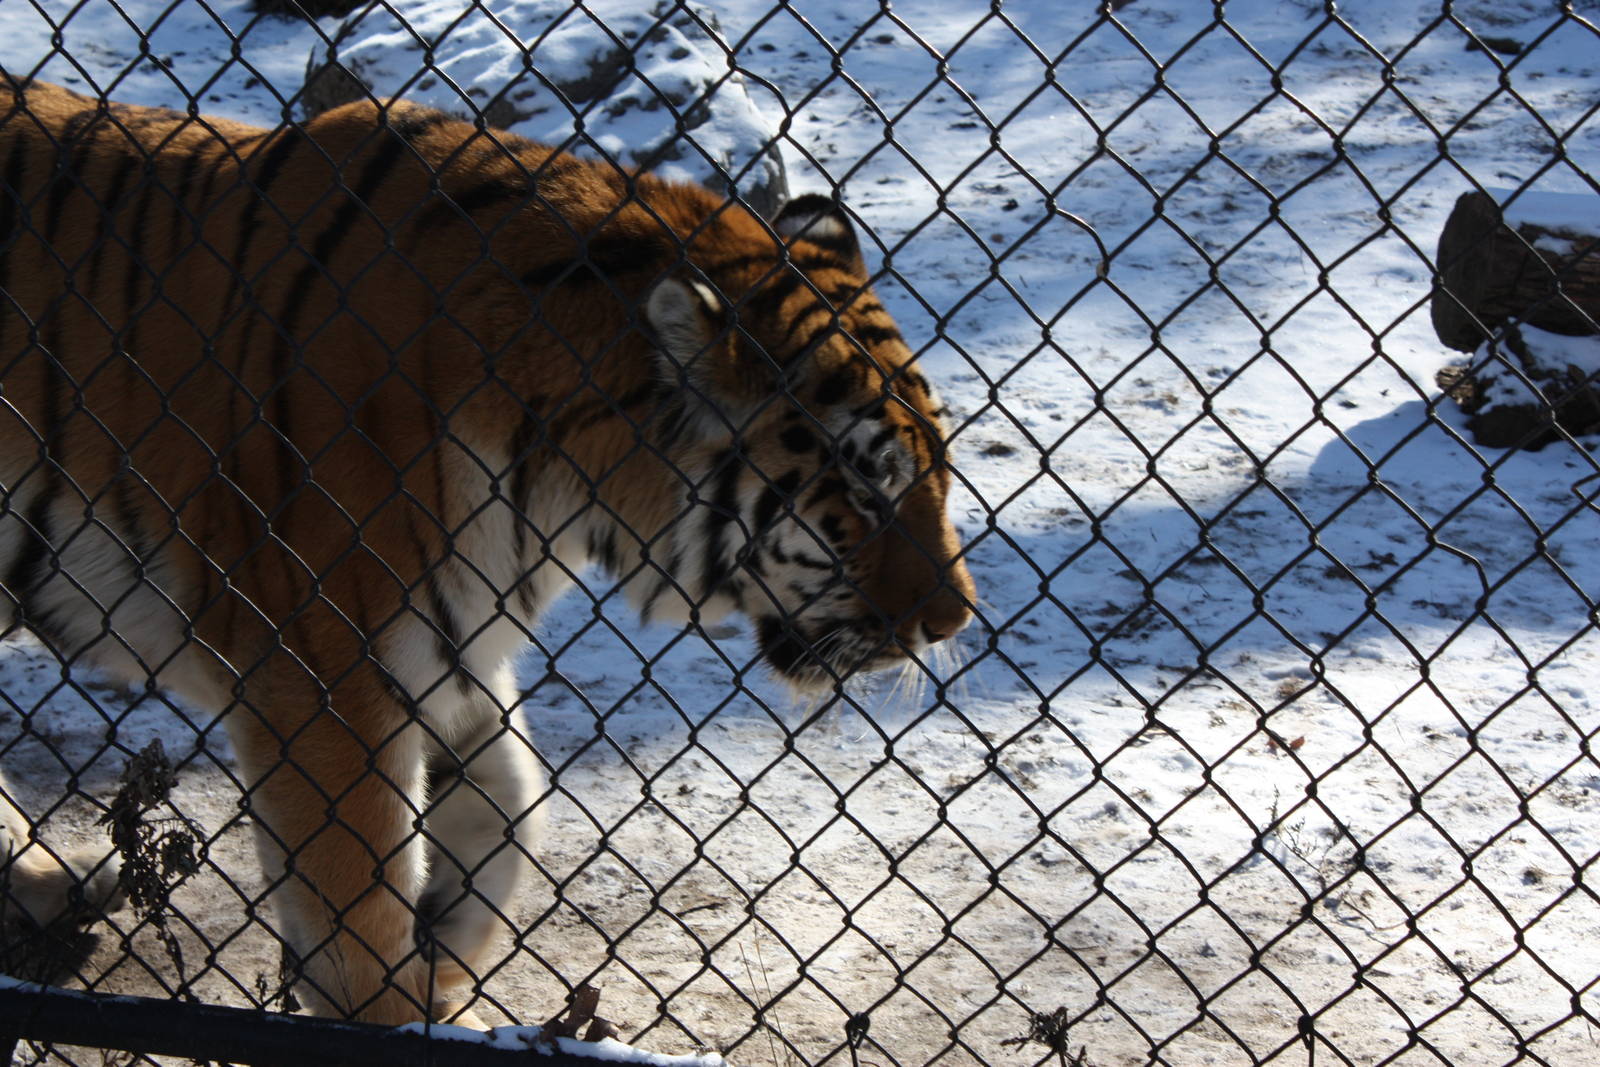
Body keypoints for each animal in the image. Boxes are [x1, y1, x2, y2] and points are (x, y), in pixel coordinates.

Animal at [0, 75, 975, 1024]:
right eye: (867, 489)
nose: (953, 621)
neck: (560, 481)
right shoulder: (323, 673)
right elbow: (358, 895)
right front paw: (400, 1009)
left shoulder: (449, 637)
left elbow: (506, 800)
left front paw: (450, 942)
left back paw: (50, 885)